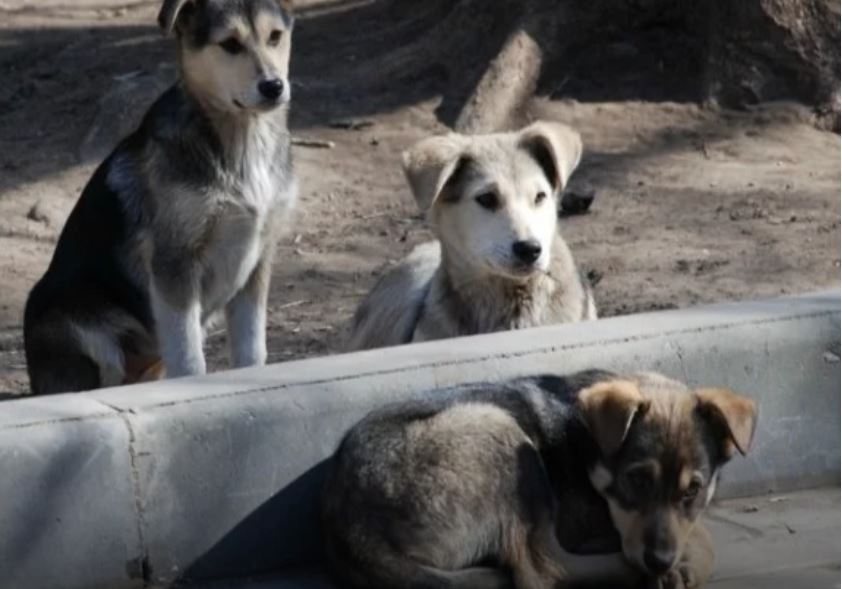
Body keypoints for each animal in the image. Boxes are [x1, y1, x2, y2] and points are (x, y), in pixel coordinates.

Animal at [23, 1, 296, 396]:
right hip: (82, 323)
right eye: (229, 44)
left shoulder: (258, 260)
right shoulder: (174, 263)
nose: (274, 86)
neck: (242, 138)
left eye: (275, 36)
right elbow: (189, 359)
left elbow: (251, 350)